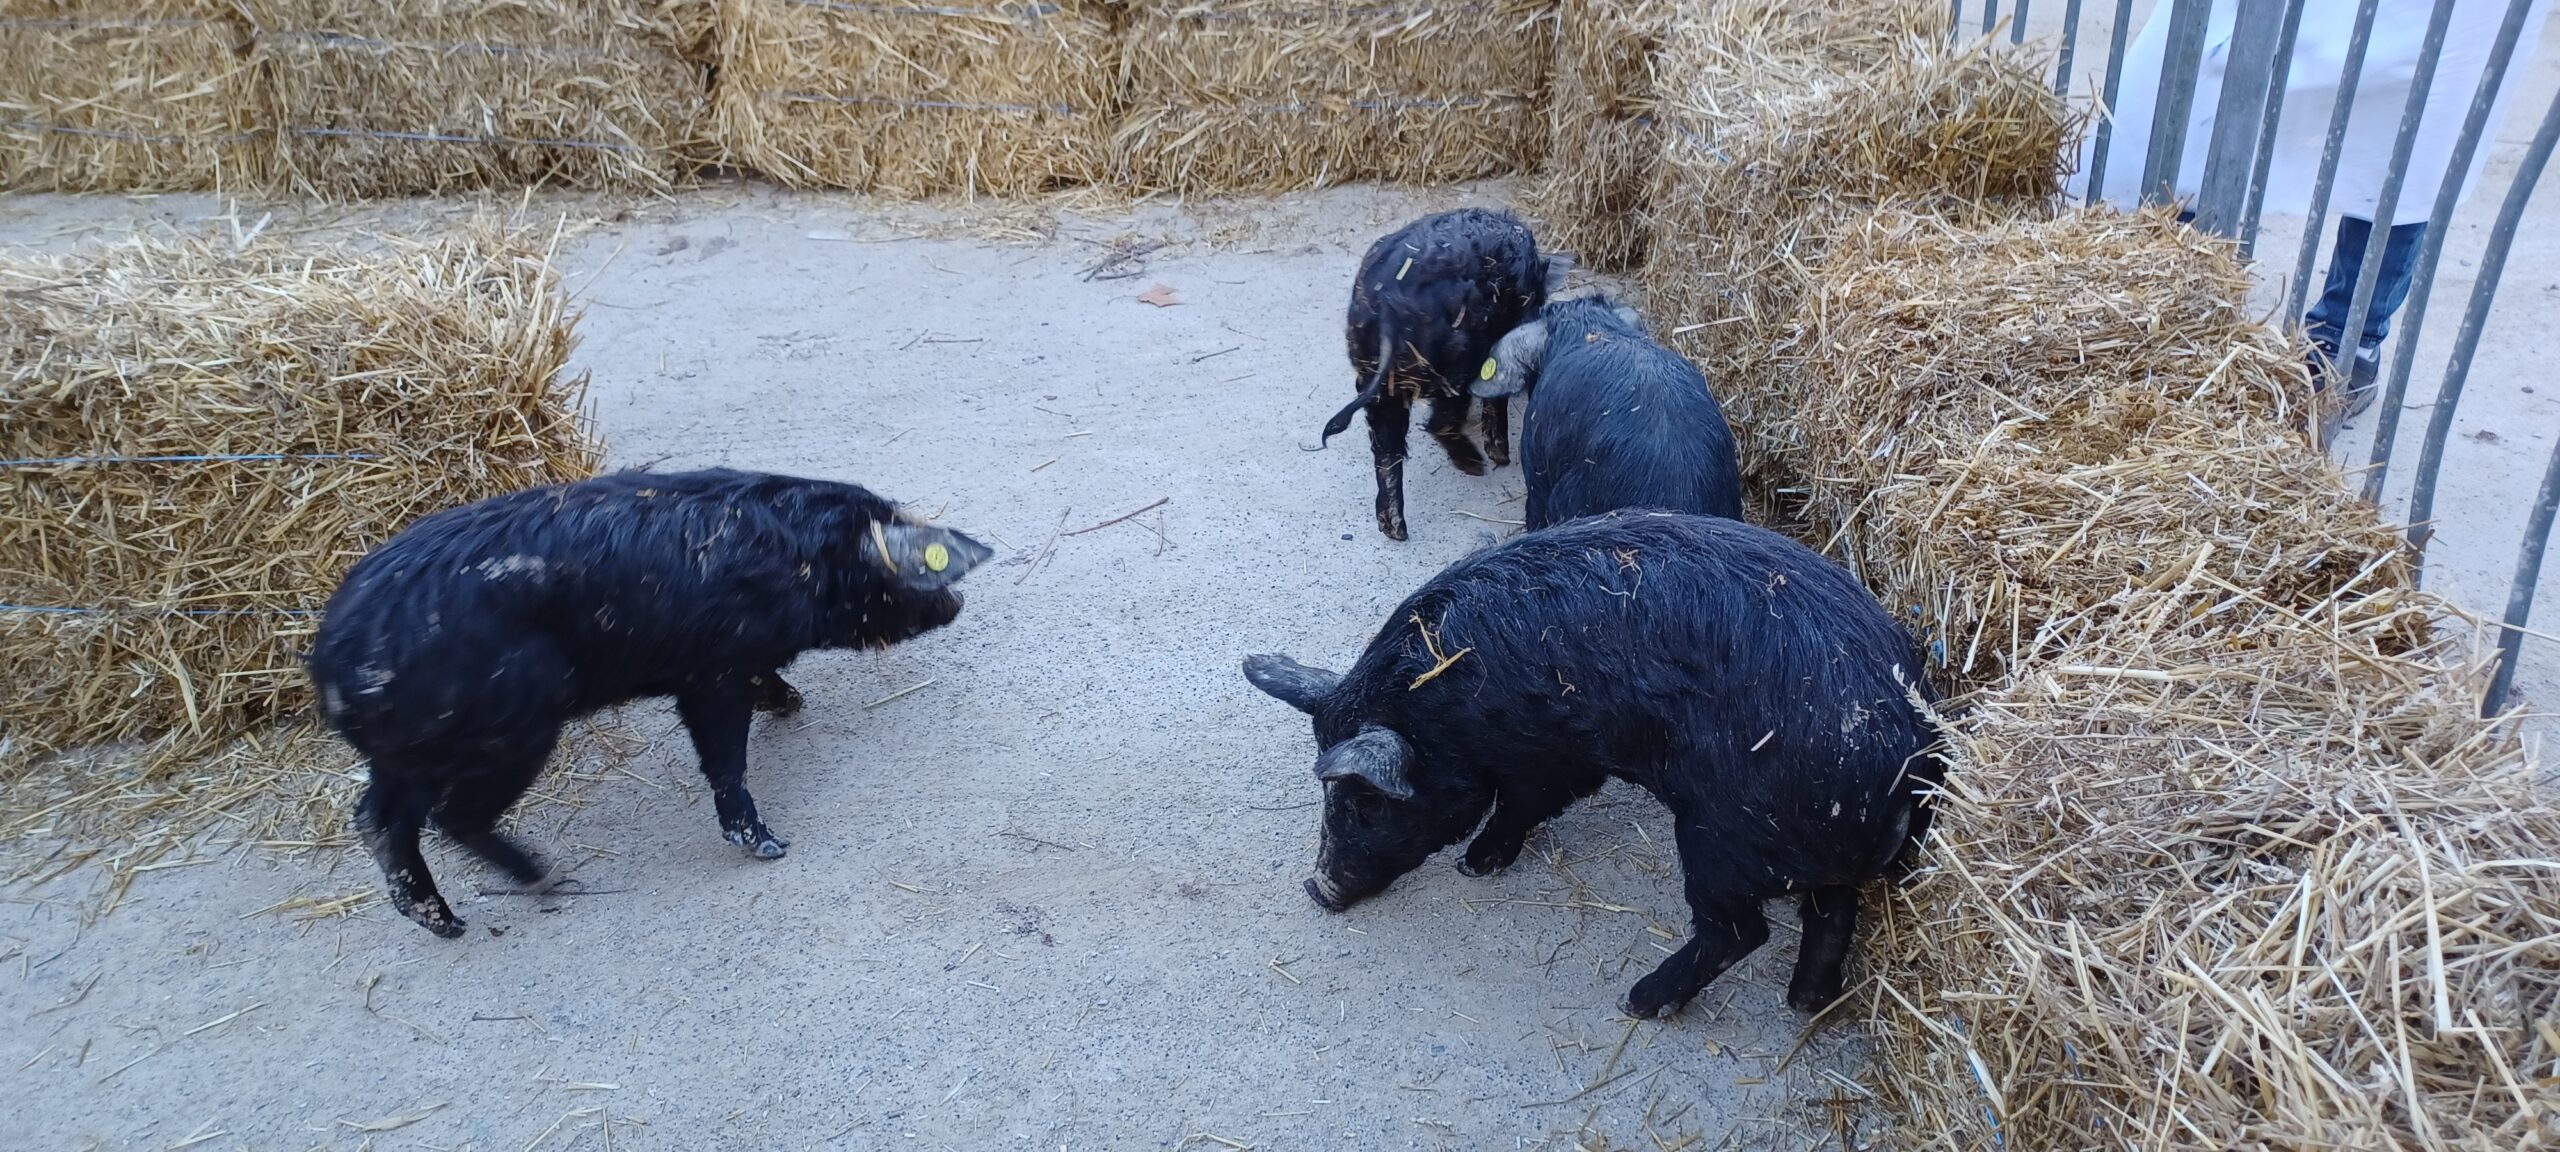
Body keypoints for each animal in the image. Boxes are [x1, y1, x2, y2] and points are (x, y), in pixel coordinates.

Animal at [307, 468, 991, 937]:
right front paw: (770, 845)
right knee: (451, 817)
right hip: (509, 731)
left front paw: (792, 702)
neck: (799, 558)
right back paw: (547, 878)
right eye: (905, 571)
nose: (956, 600)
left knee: (378, 819)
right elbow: (725, 757)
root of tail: (333, 658)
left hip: (408, 755)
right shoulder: (711, 671)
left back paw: (445, 923)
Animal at [1241, 510, 1943, 1017]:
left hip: (1720, 837)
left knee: (1741, 932)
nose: (1317, 888)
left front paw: (1474, 864)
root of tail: (1911, 756)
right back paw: (1804, 1004)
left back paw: (1639, 1001)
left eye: (1367, 802)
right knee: (1831, 914)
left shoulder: (1545, 754)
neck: (1444, 706)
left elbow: (1528, 803)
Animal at [1322, 208, 1571, 540]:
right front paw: (1499, 456)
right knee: (1440, 420)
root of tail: (1388, 308)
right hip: (1457, 361)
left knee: (1387, 447)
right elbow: (1496, 398)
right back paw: (1476, 465)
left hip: (1375, 378)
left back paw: (1394, 528)